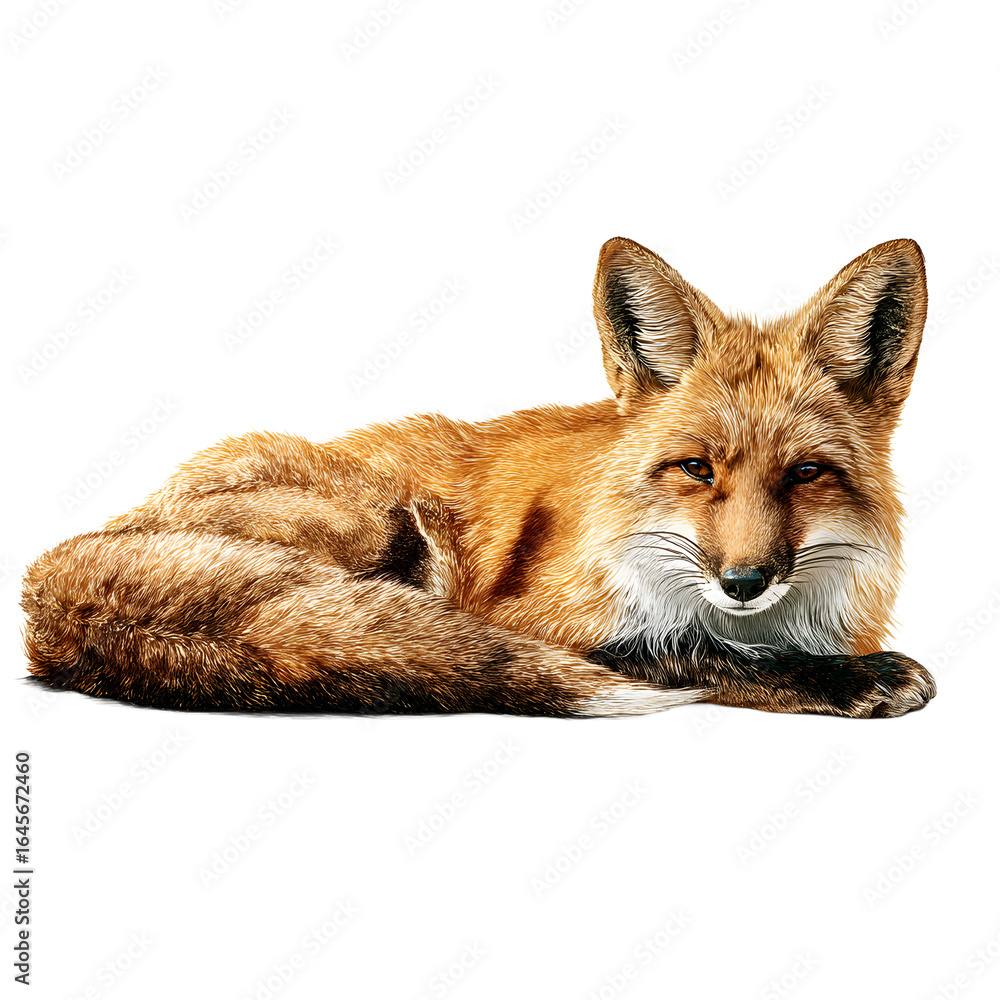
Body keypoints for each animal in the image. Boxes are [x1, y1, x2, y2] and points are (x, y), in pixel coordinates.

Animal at [22, 236, 936, 719]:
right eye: (695, 469)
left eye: (807, 473)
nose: (745, 581)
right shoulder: (547, 619)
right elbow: (696, 651)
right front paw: (845, 680)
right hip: (379, 520)